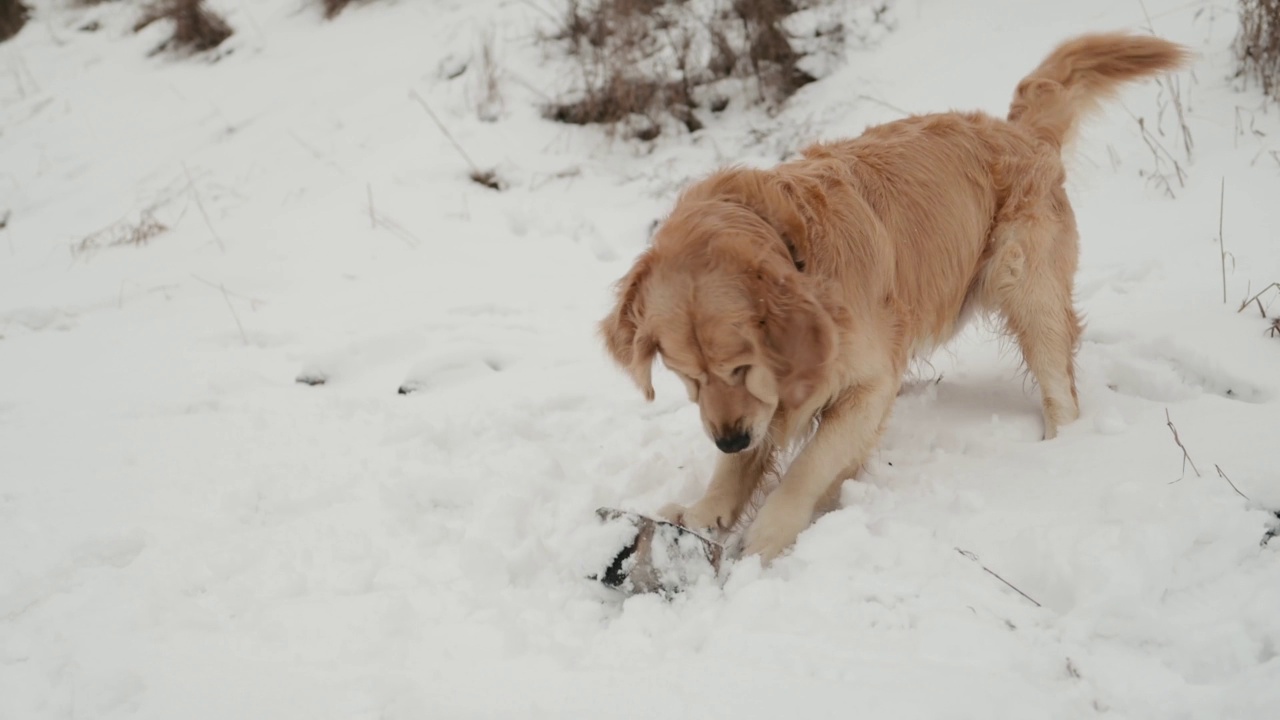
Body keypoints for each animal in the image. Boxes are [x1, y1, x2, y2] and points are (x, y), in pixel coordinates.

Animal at [599, 32, 1187, 561]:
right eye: (685, 376)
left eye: (741, 366)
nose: (727, 439)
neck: (793, 247)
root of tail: (1019, 131)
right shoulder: (764, 405)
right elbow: (742, 463)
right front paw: (702, 514)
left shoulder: (868, 383)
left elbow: (809, 465)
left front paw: (767, 536)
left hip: (1026, 286)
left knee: (1059, 382)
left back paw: (1061, 447)